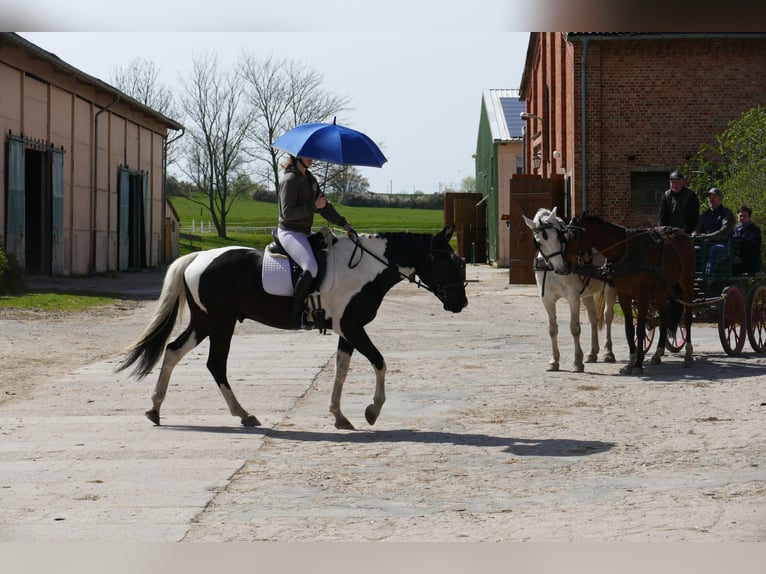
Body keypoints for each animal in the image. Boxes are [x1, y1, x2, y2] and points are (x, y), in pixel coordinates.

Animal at [520, 207, 616, 374]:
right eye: (539, 242)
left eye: (558, 237)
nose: (562, 268)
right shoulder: (547, 299)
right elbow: (552, 329)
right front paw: (554, 361)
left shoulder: (573, 297)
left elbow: (575, 328)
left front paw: (577, 362)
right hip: (587, 294)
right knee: (593, 319)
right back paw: (592, 353)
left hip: (610, 287)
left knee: (608, 316)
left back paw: (608, 352)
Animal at [564, 214, 696, 376]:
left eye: (574, 234)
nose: (566, 263)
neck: (626, 252)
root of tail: (682, 234)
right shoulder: (624, 295)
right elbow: (629, 329)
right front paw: (631, 362)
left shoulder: (643, 295)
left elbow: (640, 329)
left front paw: (638, 364)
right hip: (662, 290)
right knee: (664, 319)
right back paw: (657, 354)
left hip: (687, 282)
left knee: (688, 318)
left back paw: (688, 354)